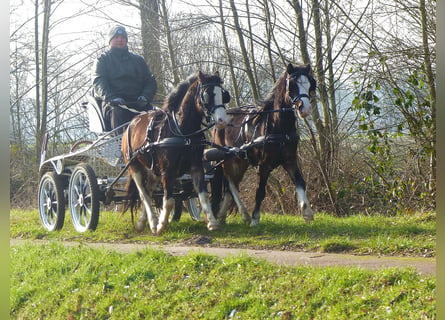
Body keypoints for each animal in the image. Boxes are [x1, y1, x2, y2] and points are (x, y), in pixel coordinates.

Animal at [123, 70, 231, 235]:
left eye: (223, 94)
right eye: (206, 95)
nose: (223, 120)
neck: (182, 130)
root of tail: (131, 123)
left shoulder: (196, 166)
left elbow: (203, 195)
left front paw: (212, 222)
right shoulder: (168, 170)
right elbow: (169, 200)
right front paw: (162, 225)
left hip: (154, 170)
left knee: (149, 190)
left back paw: (143, 222)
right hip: (134, 166)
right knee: (143, 193)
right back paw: (153, 222)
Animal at [211, 63, 316, 225]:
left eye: (310, 84)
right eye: (292, 85)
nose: (304, 109)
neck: (278, 126)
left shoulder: (290, 160)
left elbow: (300, 182)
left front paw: (307, 212)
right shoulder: (264, 164)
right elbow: (260, 191)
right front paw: (255, 218)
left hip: (240, 160)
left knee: (232, 185)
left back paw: (223, 215)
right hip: (226, 158)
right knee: (230, 183)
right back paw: (244, 214)